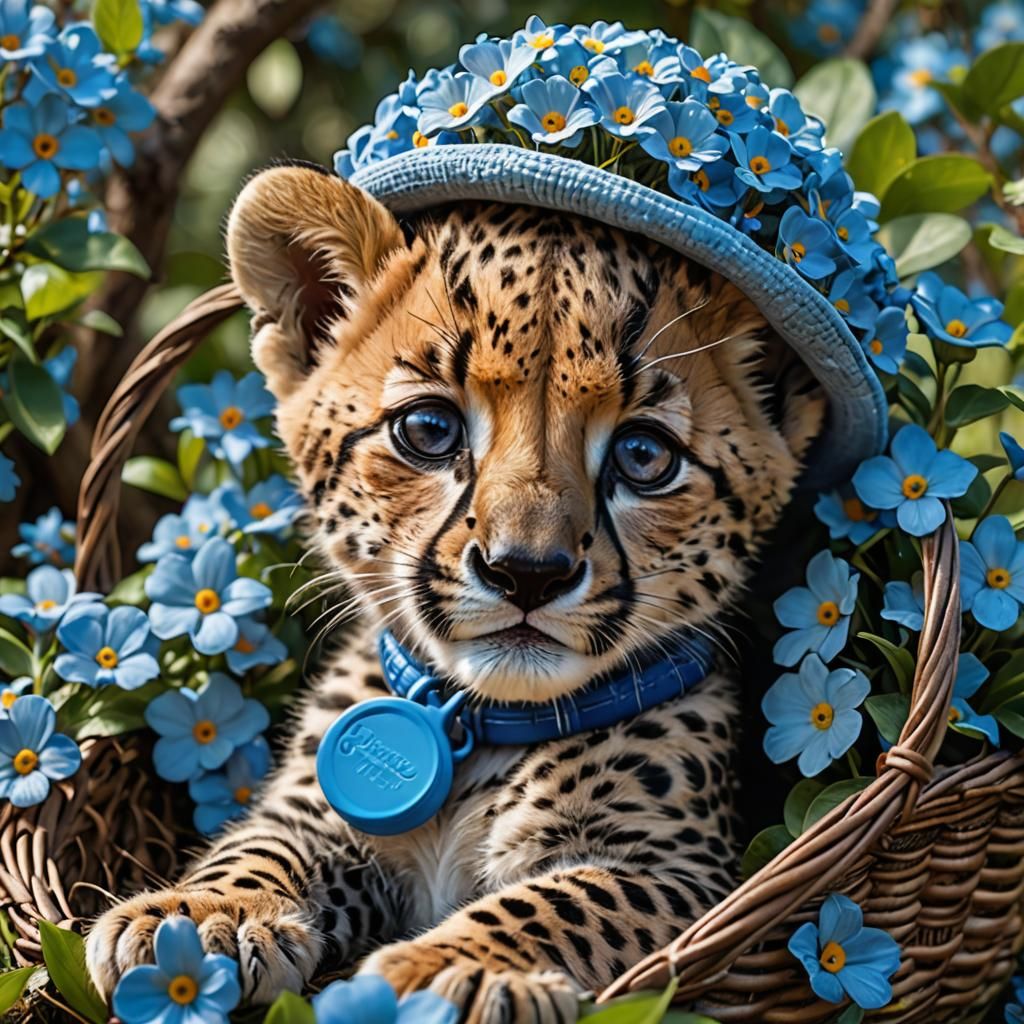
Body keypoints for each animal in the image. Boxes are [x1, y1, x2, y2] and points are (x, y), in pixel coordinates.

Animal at [85, 164, 826, 1022]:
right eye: (430, 430)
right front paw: (190, 916)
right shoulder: (316, 812)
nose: (527, 571)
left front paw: (443, 971)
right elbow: (259, 843)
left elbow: (563, 902)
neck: (474, 725)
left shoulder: (682, 873)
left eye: (644, 455)